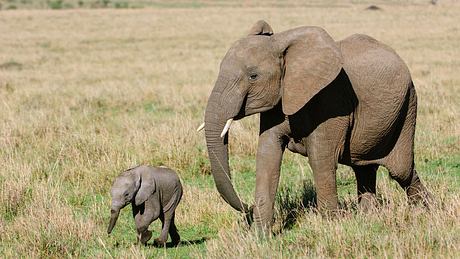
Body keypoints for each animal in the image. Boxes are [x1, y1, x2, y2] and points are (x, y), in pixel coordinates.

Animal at [200, 20, 432, 235]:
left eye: (253, 76)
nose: (246, 207)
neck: (281, 43)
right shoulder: (278, 101)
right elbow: (268, 156)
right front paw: (260, 237)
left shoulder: (332, 99)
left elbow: (320, 158)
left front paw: (331, 227)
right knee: (364, 169)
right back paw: (368, 218)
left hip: (408, 105)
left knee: (401, 170)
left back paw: (426, 211)